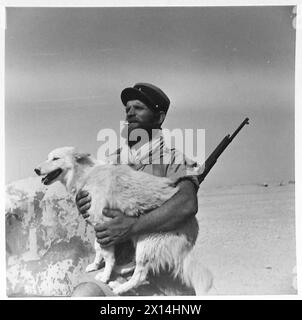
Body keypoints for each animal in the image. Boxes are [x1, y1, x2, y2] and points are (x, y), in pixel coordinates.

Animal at [35, 146, 212, 296]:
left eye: (55, 158)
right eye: (47, 157)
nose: (36, 169)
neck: (86, 174)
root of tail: (193, 229)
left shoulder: (104, 225)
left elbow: (108, 256)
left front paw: (105, 276)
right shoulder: (98, 227)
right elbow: (98, 248)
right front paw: (95, 265)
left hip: (146, 240)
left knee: (141, 274)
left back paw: (118, 287)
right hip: (138, 239)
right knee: (136, 264)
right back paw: (121, 270)